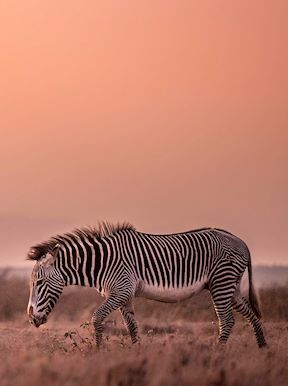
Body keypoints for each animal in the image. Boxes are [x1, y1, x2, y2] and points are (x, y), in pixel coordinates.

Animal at [26, 222, 266, 348]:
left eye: (39, 282)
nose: (31, 319)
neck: (102, 262)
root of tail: (240, 240)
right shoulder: (125, 295)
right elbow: (132, 326)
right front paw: (137, 353)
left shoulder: (120, 290)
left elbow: (96, 317)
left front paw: (98, 352)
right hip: (231, 286)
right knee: (252, 316)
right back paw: (263, 350)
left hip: (220, 283)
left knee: (226, 320)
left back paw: (217, 353)